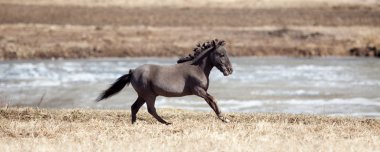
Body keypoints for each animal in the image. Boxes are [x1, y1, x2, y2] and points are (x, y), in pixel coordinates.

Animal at [96, 39, 233, 124]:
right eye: (221, 54)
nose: (230, 70)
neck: (197, 68)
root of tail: (132, 72)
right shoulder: (198, 90)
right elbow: (213, 99)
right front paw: (224, 118)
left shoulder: (203, 92)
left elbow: (211, 103)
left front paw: (223, 119)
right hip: (149, 95)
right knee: (150, 109)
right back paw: (167, 123)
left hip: (143, 95)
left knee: (134, 107)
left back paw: (134, 123)